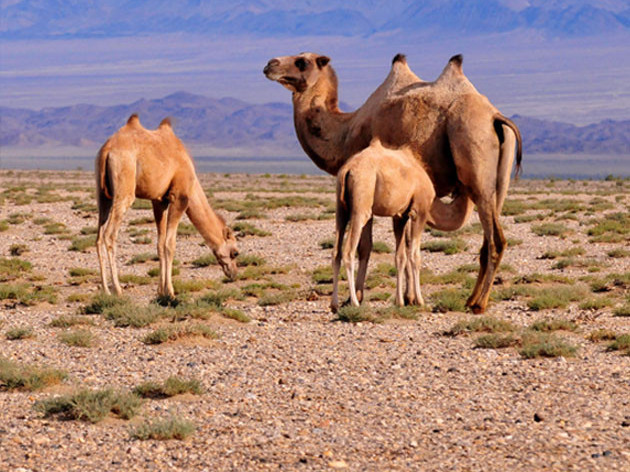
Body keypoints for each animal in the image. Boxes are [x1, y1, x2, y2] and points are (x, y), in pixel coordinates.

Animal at [95, 114, 239, 296]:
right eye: (235, 253)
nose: (234, 273)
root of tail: (108, 150)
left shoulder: (159, 200)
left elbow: (160, 244)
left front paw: (160, 290)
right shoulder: (180, 197)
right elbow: (170, 244)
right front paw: (170, 291)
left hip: (102, 195)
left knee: (99, 237)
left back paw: (105, 290)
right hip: (124, 186)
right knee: (109, 235)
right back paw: (117, 289)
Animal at [334, 138, 436, 312]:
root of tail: (348, 169)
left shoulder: (400, 216)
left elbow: (400, 256)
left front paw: (400, 301)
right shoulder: (419, 211)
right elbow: (415, 256)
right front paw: (420, 300)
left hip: (341, 209)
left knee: (336, 252)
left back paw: (334, 304)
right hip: (361, 206)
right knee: (348, 251)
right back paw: (354, 303)